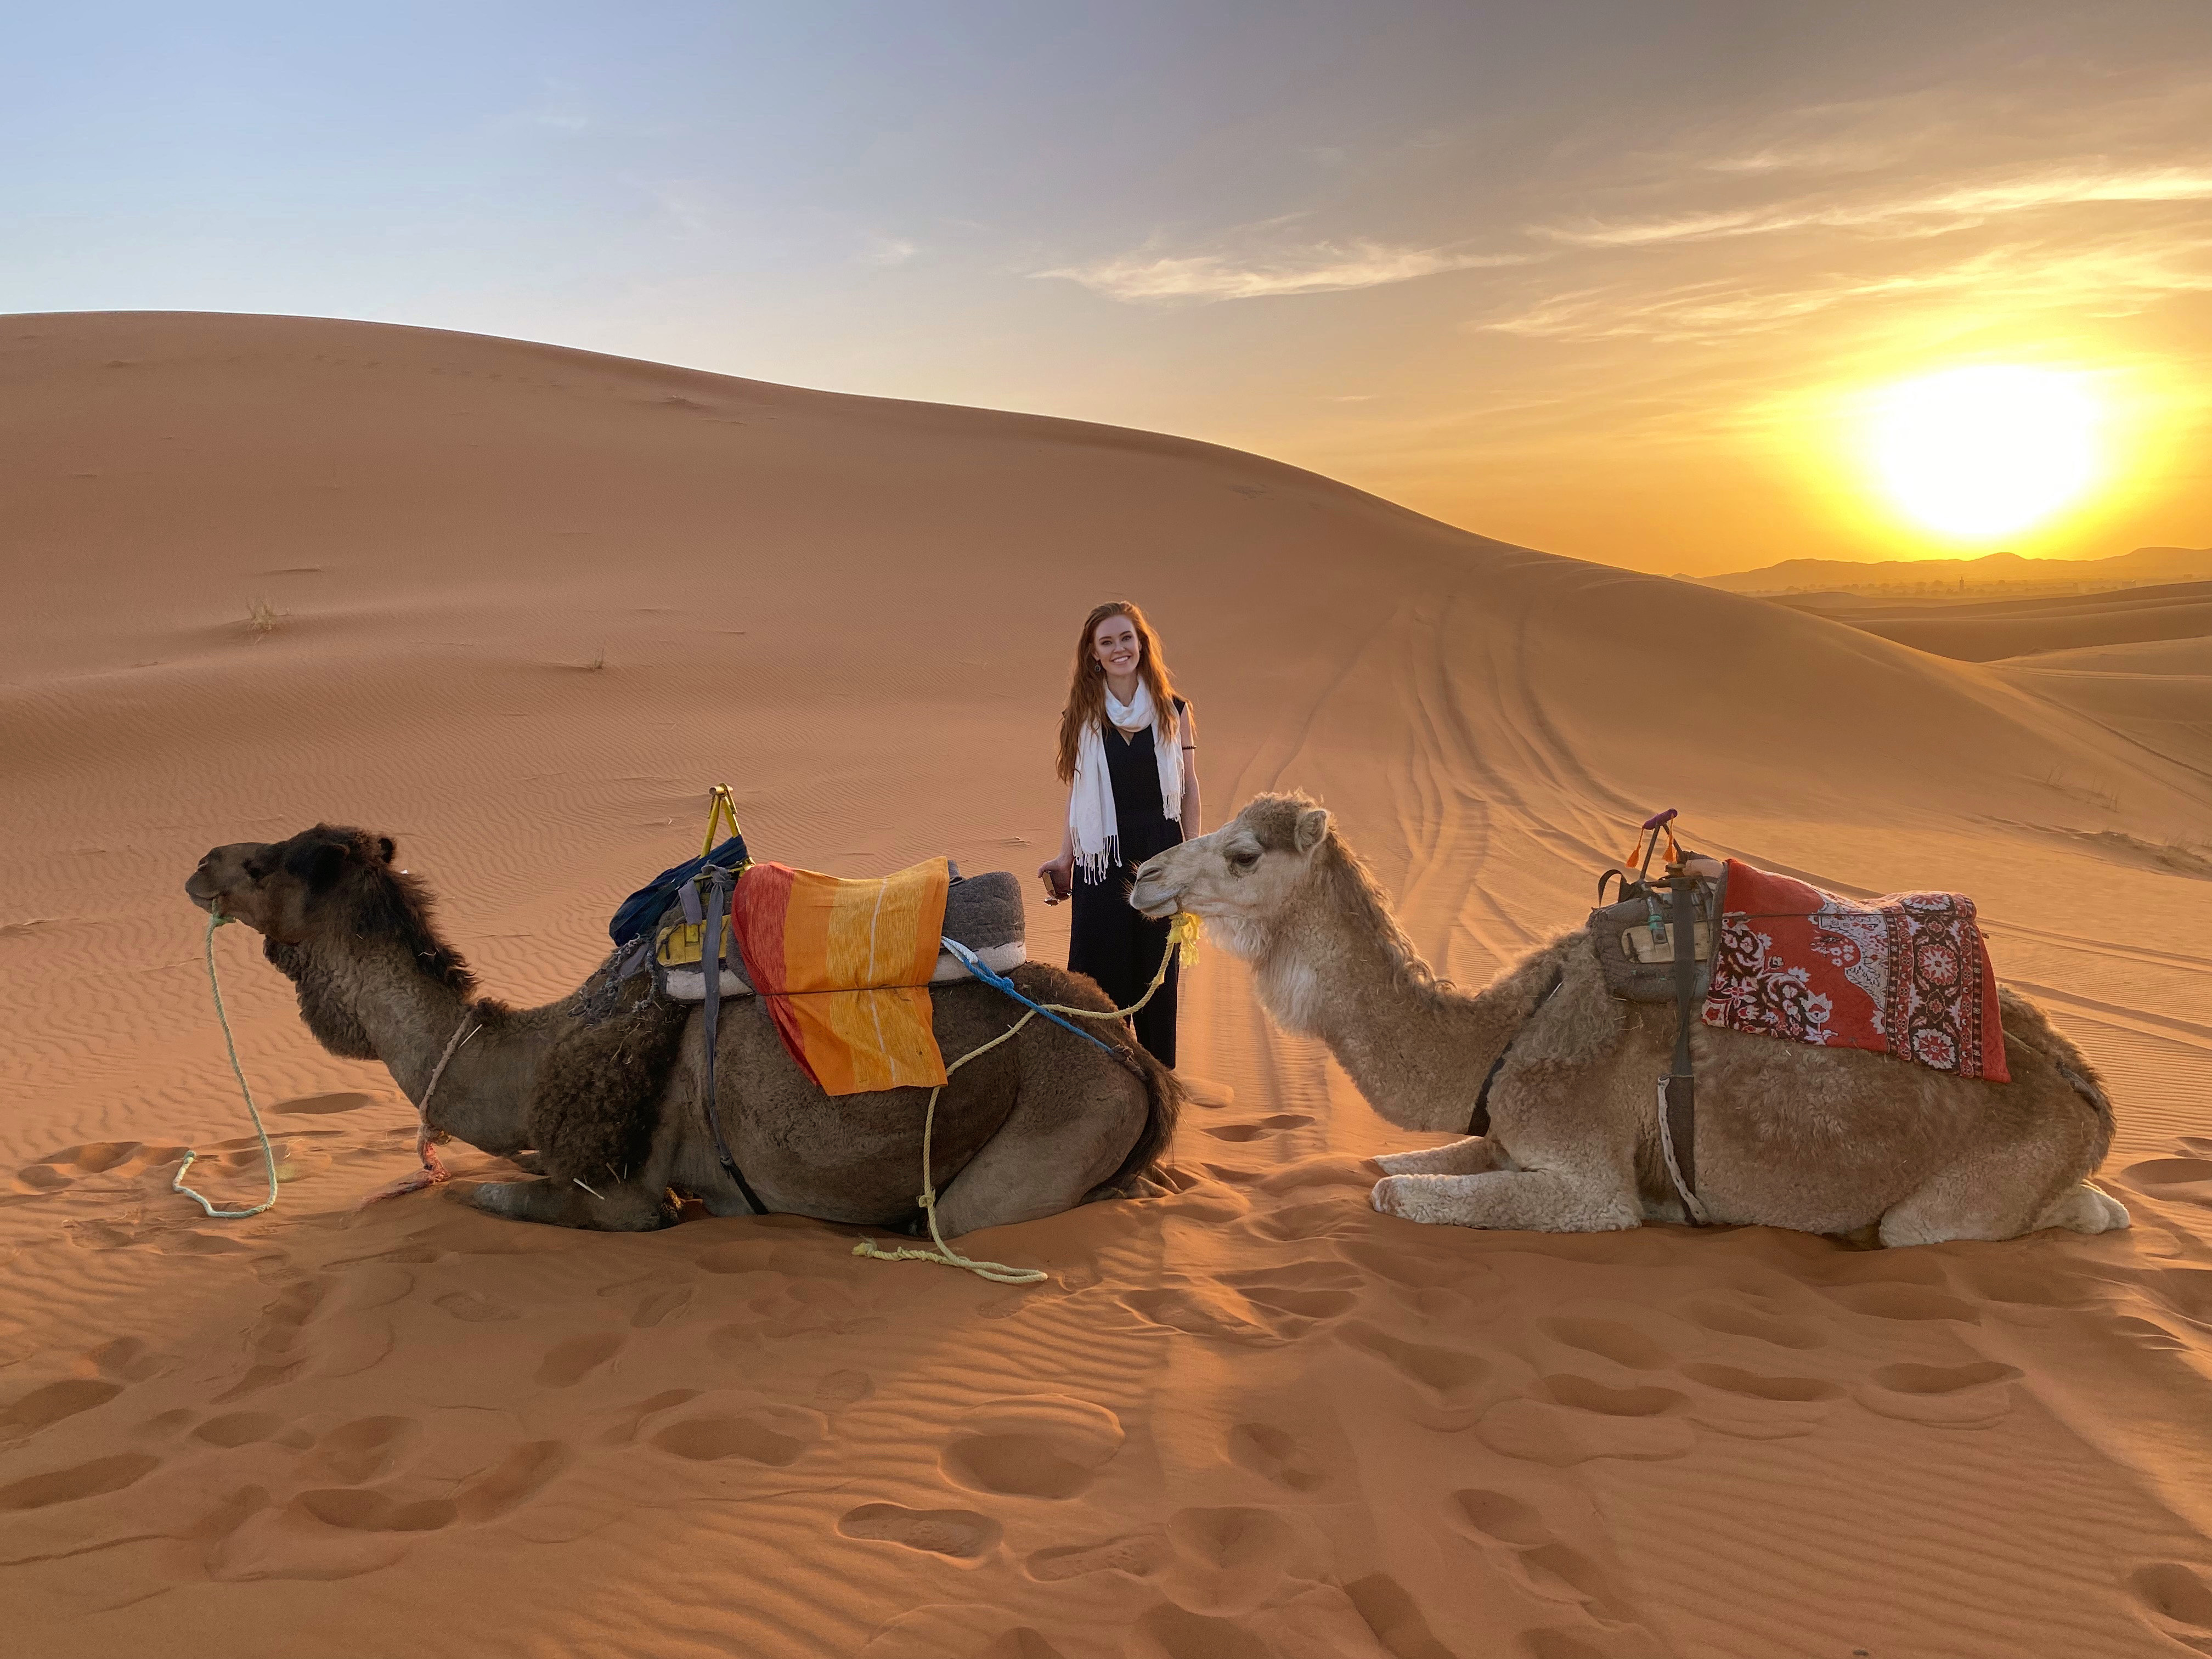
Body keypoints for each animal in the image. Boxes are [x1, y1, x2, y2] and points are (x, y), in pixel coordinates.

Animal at [185, 827, 1177, 1238]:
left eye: (267, 863)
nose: (200, 865)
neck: (530, 1054)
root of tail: (1134, 1058)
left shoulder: (620, 1196)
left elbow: (484, 1195)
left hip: (1048, 1132)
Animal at [1141, 796, 2123, 1248]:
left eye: (1243, 852)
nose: (1144, 873)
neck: (1501, 1036)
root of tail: (2090, 1092)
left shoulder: (1587, 1174)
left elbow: (1392, 1192)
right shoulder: (1504, 1130)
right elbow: (1387, 1164)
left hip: (1973, 1191)